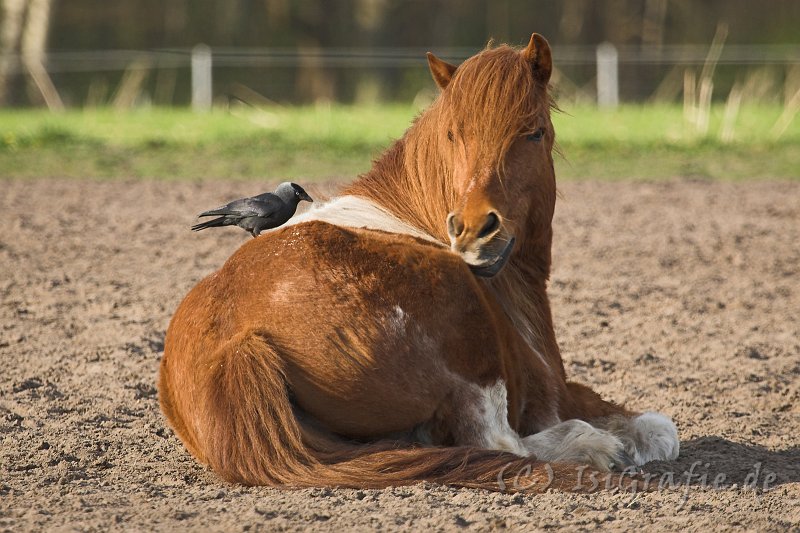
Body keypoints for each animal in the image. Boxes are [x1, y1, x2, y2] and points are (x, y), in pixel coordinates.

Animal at [159, 32, 680, 490]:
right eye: (452, 134)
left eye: (534, 132)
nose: (474, 229)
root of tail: (240, 346)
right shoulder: (552, 392)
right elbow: (659, 429)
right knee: (500, 442)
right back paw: (595, 448)